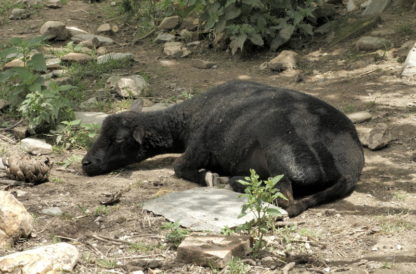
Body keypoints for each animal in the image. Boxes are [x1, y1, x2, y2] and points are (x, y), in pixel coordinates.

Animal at [82, 80, 364, 217]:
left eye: (119, 139)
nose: (86, 163)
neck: (187, 119)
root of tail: (349, 167)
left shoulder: (197, 150)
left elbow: (178, 167)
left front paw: (211, 177)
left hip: (282, 155)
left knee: (287, 203)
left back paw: (233, 181)